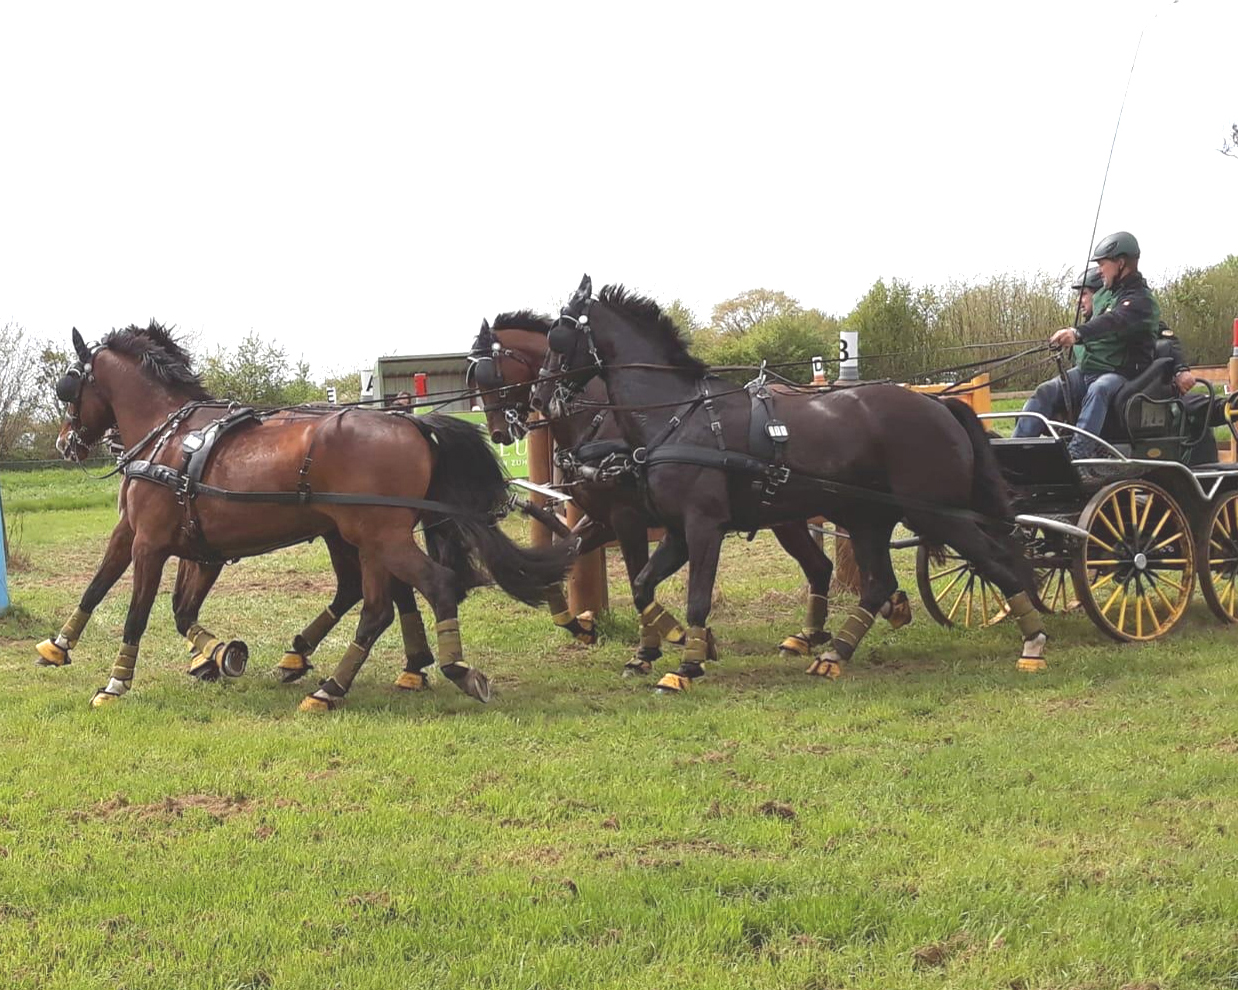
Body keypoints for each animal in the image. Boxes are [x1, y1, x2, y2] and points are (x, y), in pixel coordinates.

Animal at [37, 324, 569, 712]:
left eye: (68, 384)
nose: (65, 442)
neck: (168, 439)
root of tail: (410, 423)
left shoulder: (151, 542)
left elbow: (139, 612)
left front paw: (116, 683)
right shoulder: (174, 543)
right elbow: (114, 588)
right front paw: (62, 646)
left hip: (377, 536)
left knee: (424, 589)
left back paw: (432, 673)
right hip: (361, 536)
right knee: (375, 601)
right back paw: (337, 677)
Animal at [467, 311, 916, 673]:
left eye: (490, 375)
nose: (499, 432)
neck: (605, 421)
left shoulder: (628, 518)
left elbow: (637, 577)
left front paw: (656, 646)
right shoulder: (603, 519)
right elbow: (567, 557)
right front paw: (578, 625)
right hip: (789, 515)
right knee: (822, 566)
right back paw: (819, 632)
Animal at [532, 278, 1044, 693]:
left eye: (559, 334)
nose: (539, 395)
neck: (678, 418)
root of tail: (939, 406)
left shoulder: (702, 527)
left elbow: (697, 598)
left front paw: (687, 664)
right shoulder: (675, 531)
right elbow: (642, 586)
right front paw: (679, 645)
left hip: (934, 513)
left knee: (996, 561)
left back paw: (1033, 643)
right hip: (869, 518)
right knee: (880, 583)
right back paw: (834, 653)